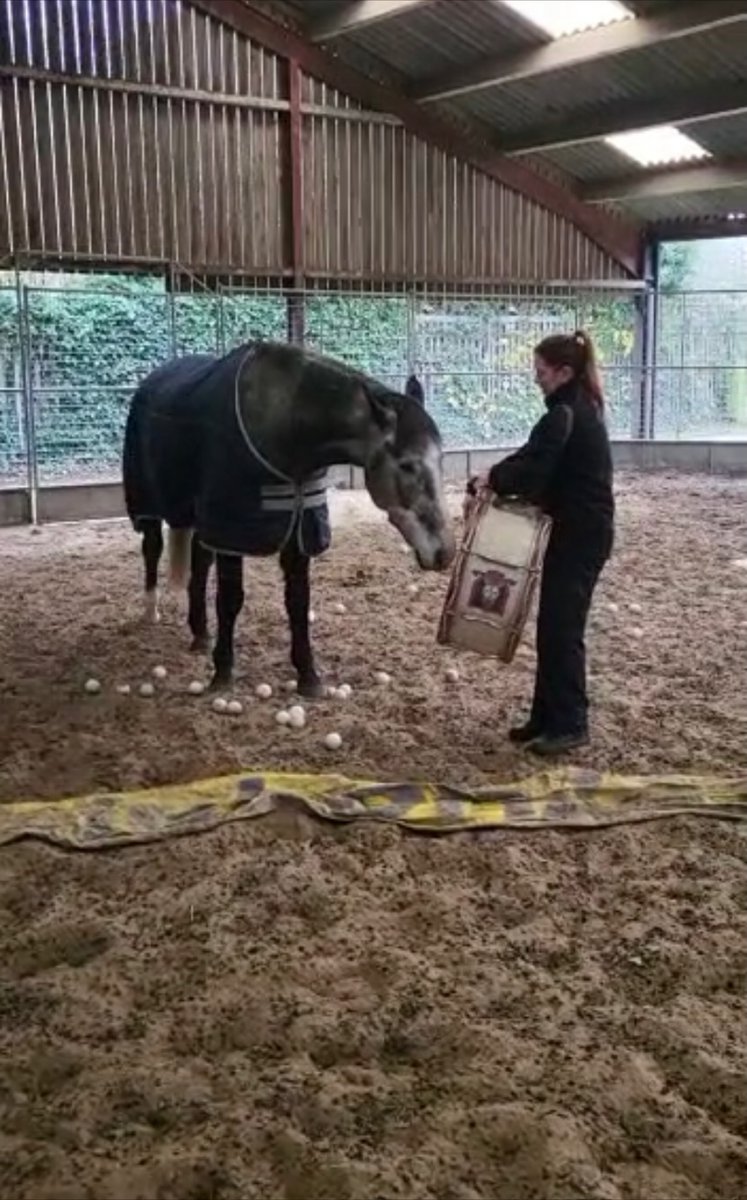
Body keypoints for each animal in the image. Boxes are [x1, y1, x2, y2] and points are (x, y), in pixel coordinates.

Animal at [123, 338, 456, 696]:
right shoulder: (232, 532)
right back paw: (151, 611)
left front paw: (308, 677)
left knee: (199, 564)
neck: (287, 426)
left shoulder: (299, 531)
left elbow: (297, 601)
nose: (445, 553)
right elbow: (231, 599)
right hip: (149, 504)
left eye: (441, 459)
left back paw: (200, 634)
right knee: (152, 549)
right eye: (407, 465)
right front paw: (222, 673)